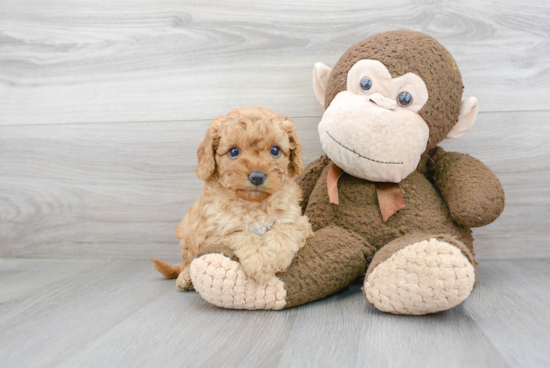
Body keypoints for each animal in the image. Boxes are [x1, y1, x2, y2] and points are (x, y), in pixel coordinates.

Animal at [153, 106, 312, 290]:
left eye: (275, 150)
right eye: (234, 151)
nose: (257, 177)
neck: (253, 205)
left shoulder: (297, 221)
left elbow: (284, 231)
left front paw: (274, 257)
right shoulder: (212, 235)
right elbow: (241, 235)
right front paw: (259, 263)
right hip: (186, 231)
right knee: (187, 262)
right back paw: (185, 277)